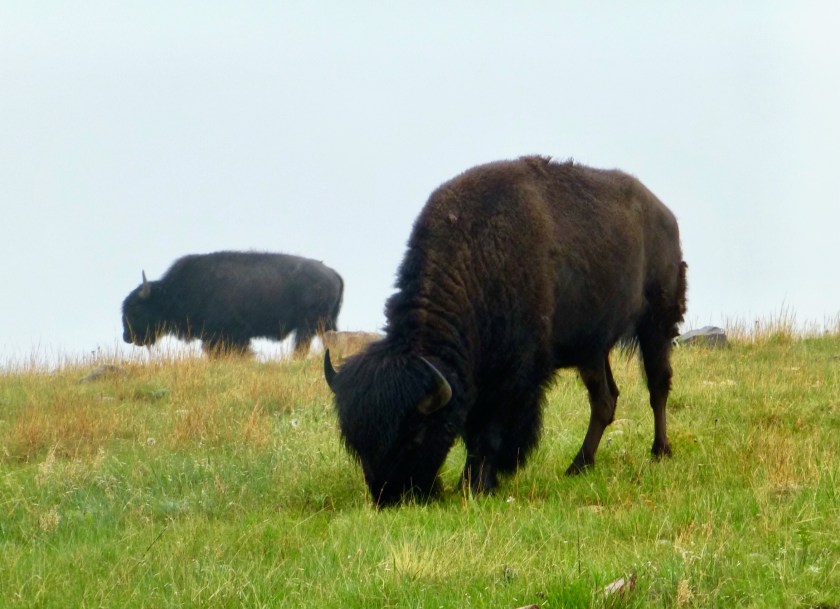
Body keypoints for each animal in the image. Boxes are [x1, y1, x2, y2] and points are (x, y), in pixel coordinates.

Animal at [122, 251, 343, 358]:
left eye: (135, 308)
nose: (126, 337)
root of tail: (333, 274)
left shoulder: (227, 335)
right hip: (326, 324)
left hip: (307, 326)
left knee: (301, 347)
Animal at [324, 156, 687, 506]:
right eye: (357, 443)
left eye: (415, 434)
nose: (390, 497)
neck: (476, 257)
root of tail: (665, 215)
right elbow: (474, 430)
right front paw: (470, 483)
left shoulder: (512, 377)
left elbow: (491, 432)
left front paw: (478, 485)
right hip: (593, 350)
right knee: (605, 400)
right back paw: (578, 465)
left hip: (657, 324)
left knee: (657, 386)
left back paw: (660, 451)